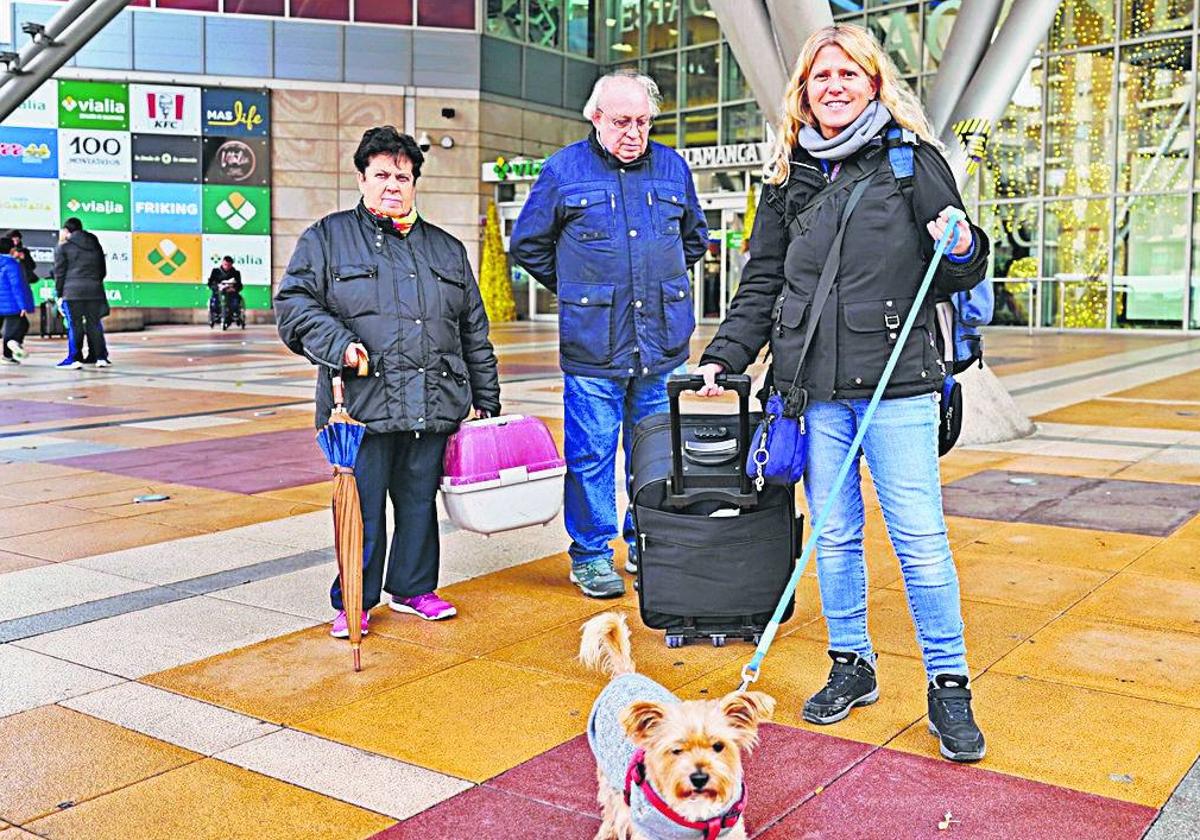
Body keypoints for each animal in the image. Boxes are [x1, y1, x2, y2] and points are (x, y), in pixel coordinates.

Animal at [580, 609, 777, 840]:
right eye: (676, 750)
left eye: (718, 746)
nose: (699, 777)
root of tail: (625, 675)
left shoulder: (729, 830)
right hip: (609, 777)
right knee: (612, 810)